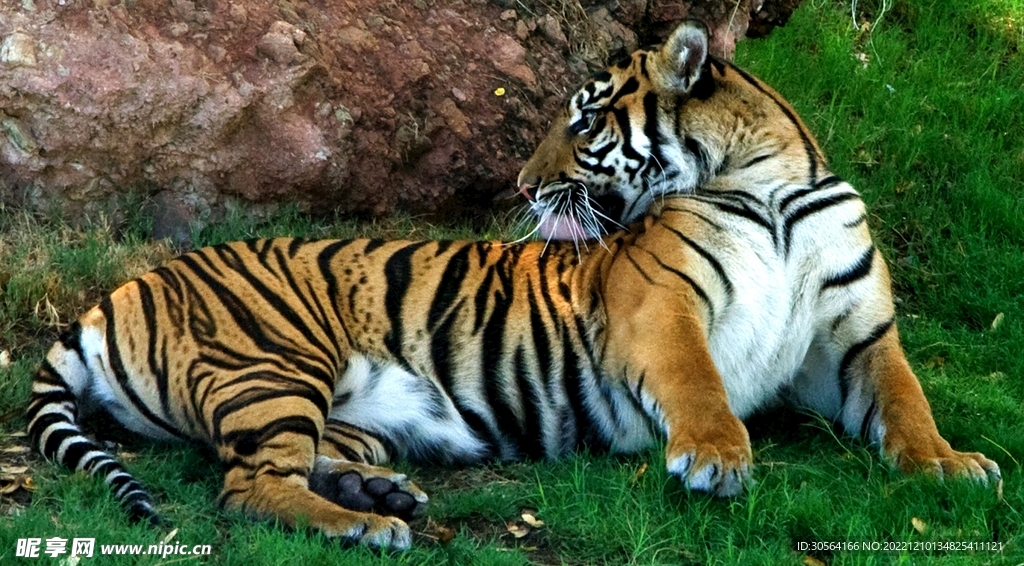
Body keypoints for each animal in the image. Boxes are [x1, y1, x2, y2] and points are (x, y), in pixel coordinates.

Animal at [27, 20, 998, 551]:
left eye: (587, 121)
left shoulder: (857, 335)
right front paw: (718, 458)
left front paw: (951, 468)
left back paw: (379, 493)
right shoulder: (663, 304)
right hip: (273, 363)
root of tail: (115, 292)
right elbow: (698, 382)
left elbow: (906, 403)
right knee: (244, 486)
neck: (773, 183)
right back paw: (365, 525)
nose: (524, 188)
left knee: (303, 459)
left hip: (342, 406)